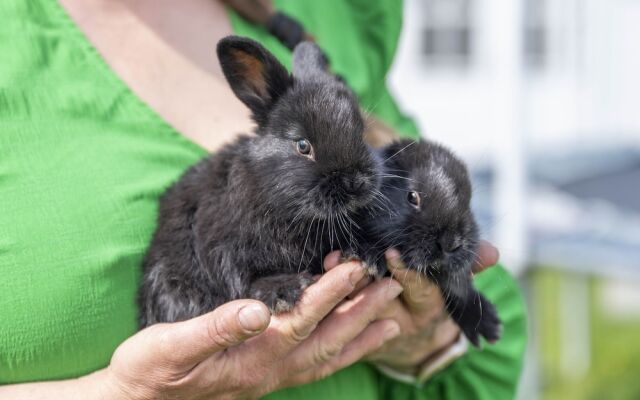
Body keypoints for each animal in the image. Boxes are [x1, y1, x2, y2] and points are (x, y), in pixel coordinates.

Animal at [139, 36, 380, 326]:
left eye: (361, 134)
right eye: (302, 145)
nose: (355, 183)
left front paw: (367, 254)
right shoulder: (224, 248)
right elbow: (248, 278)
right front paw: (283, 291)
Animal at [350, 139, 500, 346]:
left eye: (468, 203)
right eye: (412, 196)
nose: (450, 243)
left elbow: (458, 289)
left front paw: (488, 324)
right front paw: (369, 258)